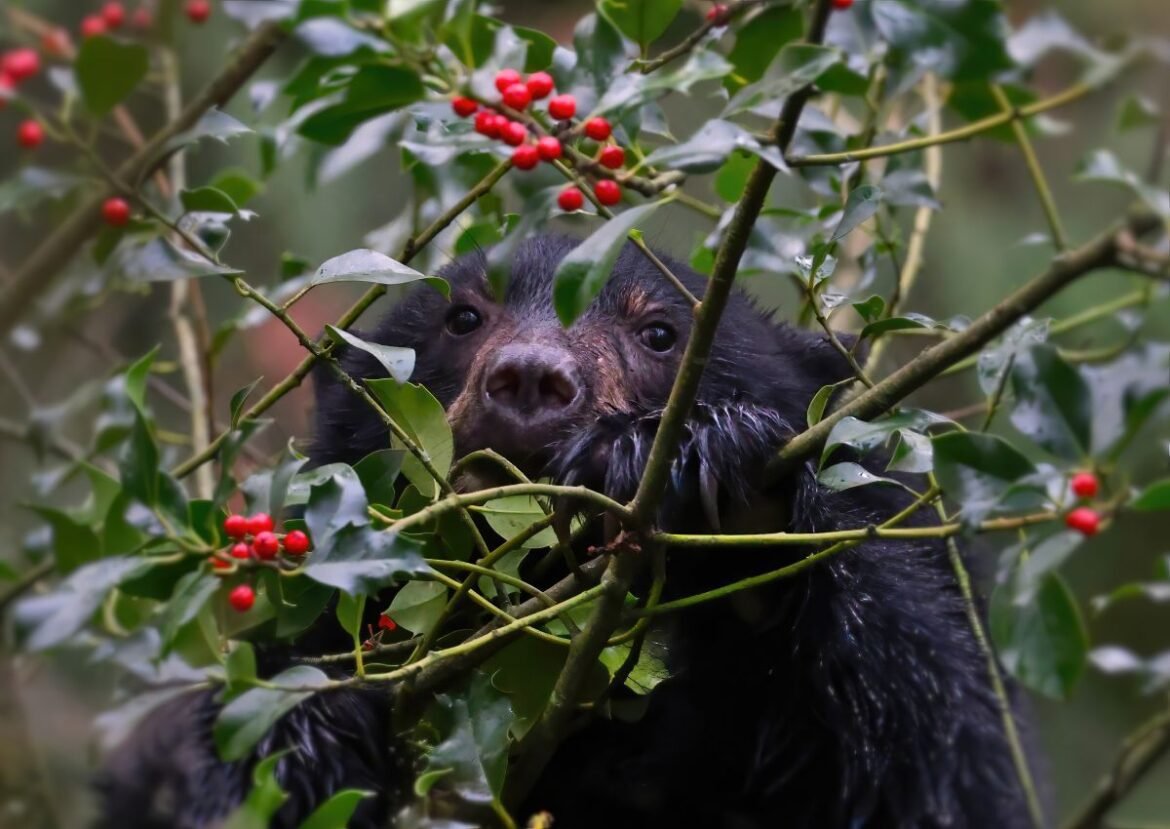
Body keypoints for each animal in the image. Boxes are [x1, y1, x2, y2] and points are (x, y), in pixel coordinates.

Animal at [96, 234, 1043, 829]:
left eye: (661, 331)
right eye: (463, 316)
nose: (531, 378)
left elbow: (944, 757)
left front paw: (716, 473)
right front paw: (306, 720)